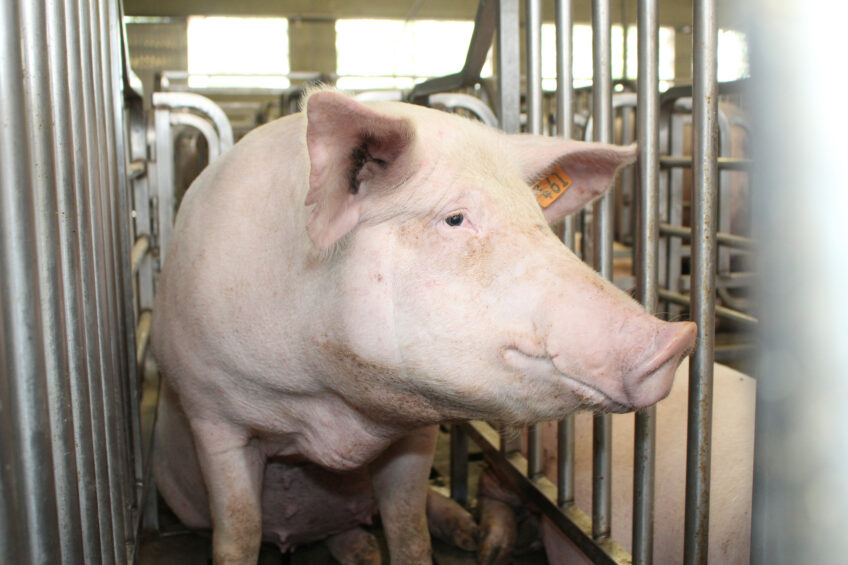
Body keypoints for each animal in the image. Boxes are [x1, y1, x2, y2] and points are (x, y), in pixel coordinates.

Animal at [152, 89, 696, 564]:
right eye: (455, 219)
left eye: (539, 220)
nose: (678, 338)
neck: (332, 417)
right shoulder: (211, 412)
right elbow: (239, 533)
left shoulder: (416, 435)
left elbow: (409, 529)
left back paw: (462, 536)